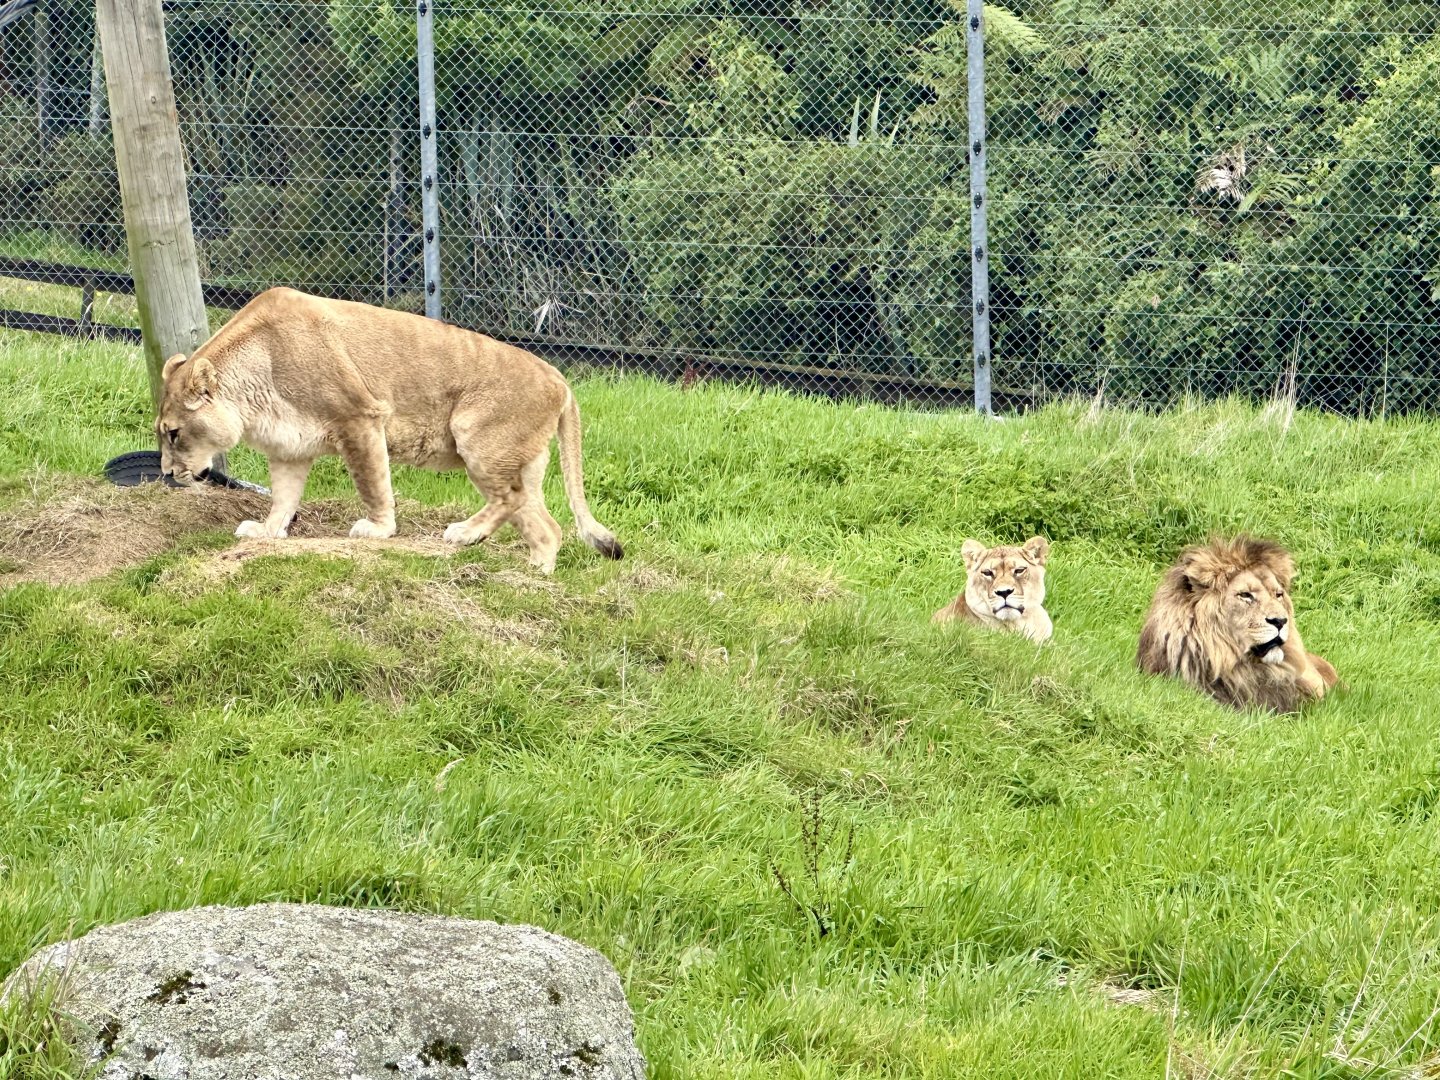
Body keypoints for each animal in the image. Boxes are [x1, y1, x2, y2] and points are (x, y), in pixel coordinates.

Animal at [156, 287, 621, 573]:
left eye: (174, 433)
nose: (166, 474)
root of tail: (561, 380)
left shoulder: (360, 417)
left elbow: (372, 483)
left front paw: (377, 529)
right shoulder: (290, 449)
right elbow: (283, 499)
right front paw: (268, 532)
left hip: (475, 438)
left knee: (511, 497)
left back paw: (464, 533)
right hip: (522, 461)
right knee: (544, 524)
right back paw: (534, 574)